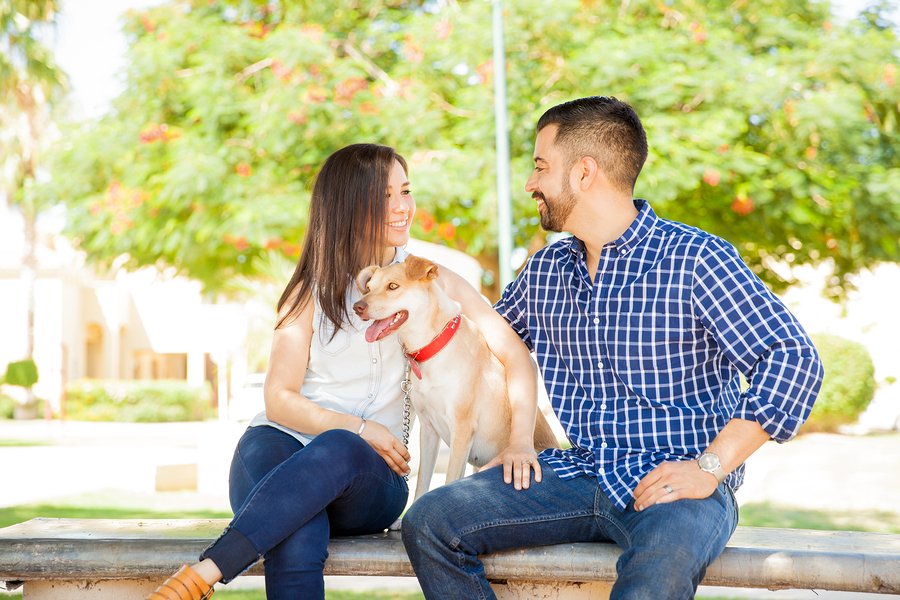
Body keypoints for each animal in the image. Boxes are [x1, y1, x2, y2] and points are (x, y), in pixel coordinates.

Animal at [352, 253, 556, 502]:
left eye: (393, 286)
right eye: (369, 288)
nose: (357, 307)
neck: (432, 346)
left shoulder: (462, 429)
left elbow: (449, 480)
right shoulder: (428, 430)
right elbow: (421, 486)